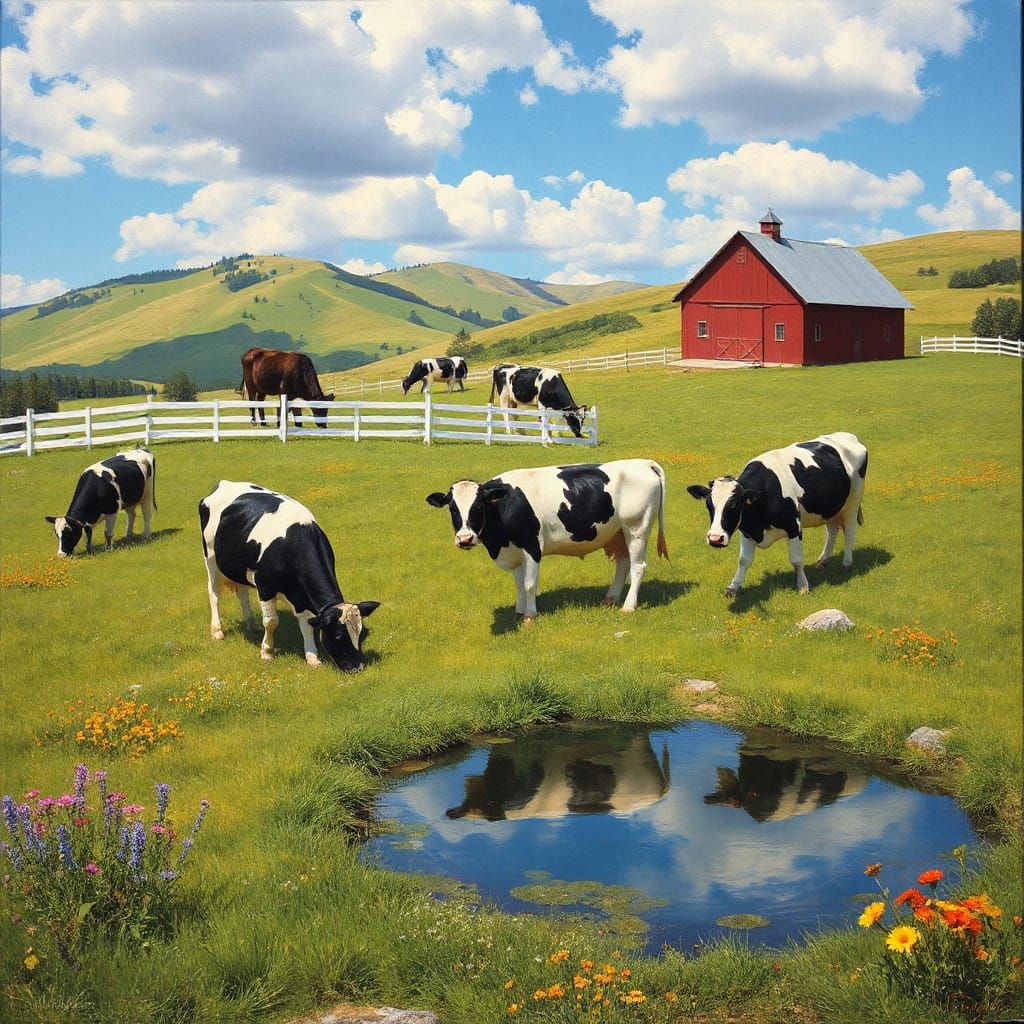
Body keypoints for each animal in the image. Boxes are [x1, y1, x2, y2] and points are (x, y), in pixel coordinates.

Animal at [198, 481, 379, 671]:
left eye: (363, 634)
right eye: (338, 636)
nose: (358, 667)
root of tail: (225, 483)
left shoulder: (300, 595)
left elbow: (307, 624)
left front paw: (312, 657)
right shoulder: (265, 587)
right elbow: (271, 622)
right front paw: (267, 651)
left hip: (238, 567)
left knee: (242, 593)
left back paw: (252, 624)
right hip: (210, 558)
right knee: (214, 594)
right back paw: (217, 631)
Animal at [426, 459, 668, 622]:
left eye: (478, 506)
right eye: (452, 508)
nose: (465, 538)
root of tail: (642, 462)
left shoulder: (532, 546)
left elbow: (529, 583)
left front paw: (530, 615)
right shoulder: (513, 551)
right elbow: (518, 584)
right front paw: (519, 611)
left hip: (636, 527)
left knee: (638, 566)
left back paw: (628, 606)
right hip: (618, 532)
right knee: (623, 563)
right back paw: (610, 599)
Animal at [687, 432, 867, 597]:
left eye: (734, 505)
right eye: (708, 505)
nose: (715, 539)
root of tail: (849, 436)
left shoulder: (794, 526)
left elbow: (796, 560)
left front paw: (803, 585)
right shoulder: (746, 529)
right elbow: (744, 560)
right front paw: (733, 587)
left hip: (853, 501)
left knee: (849, 530)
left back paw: (847, 563)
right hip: (830, 507)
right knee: (832, 529)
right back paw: (823, 560)